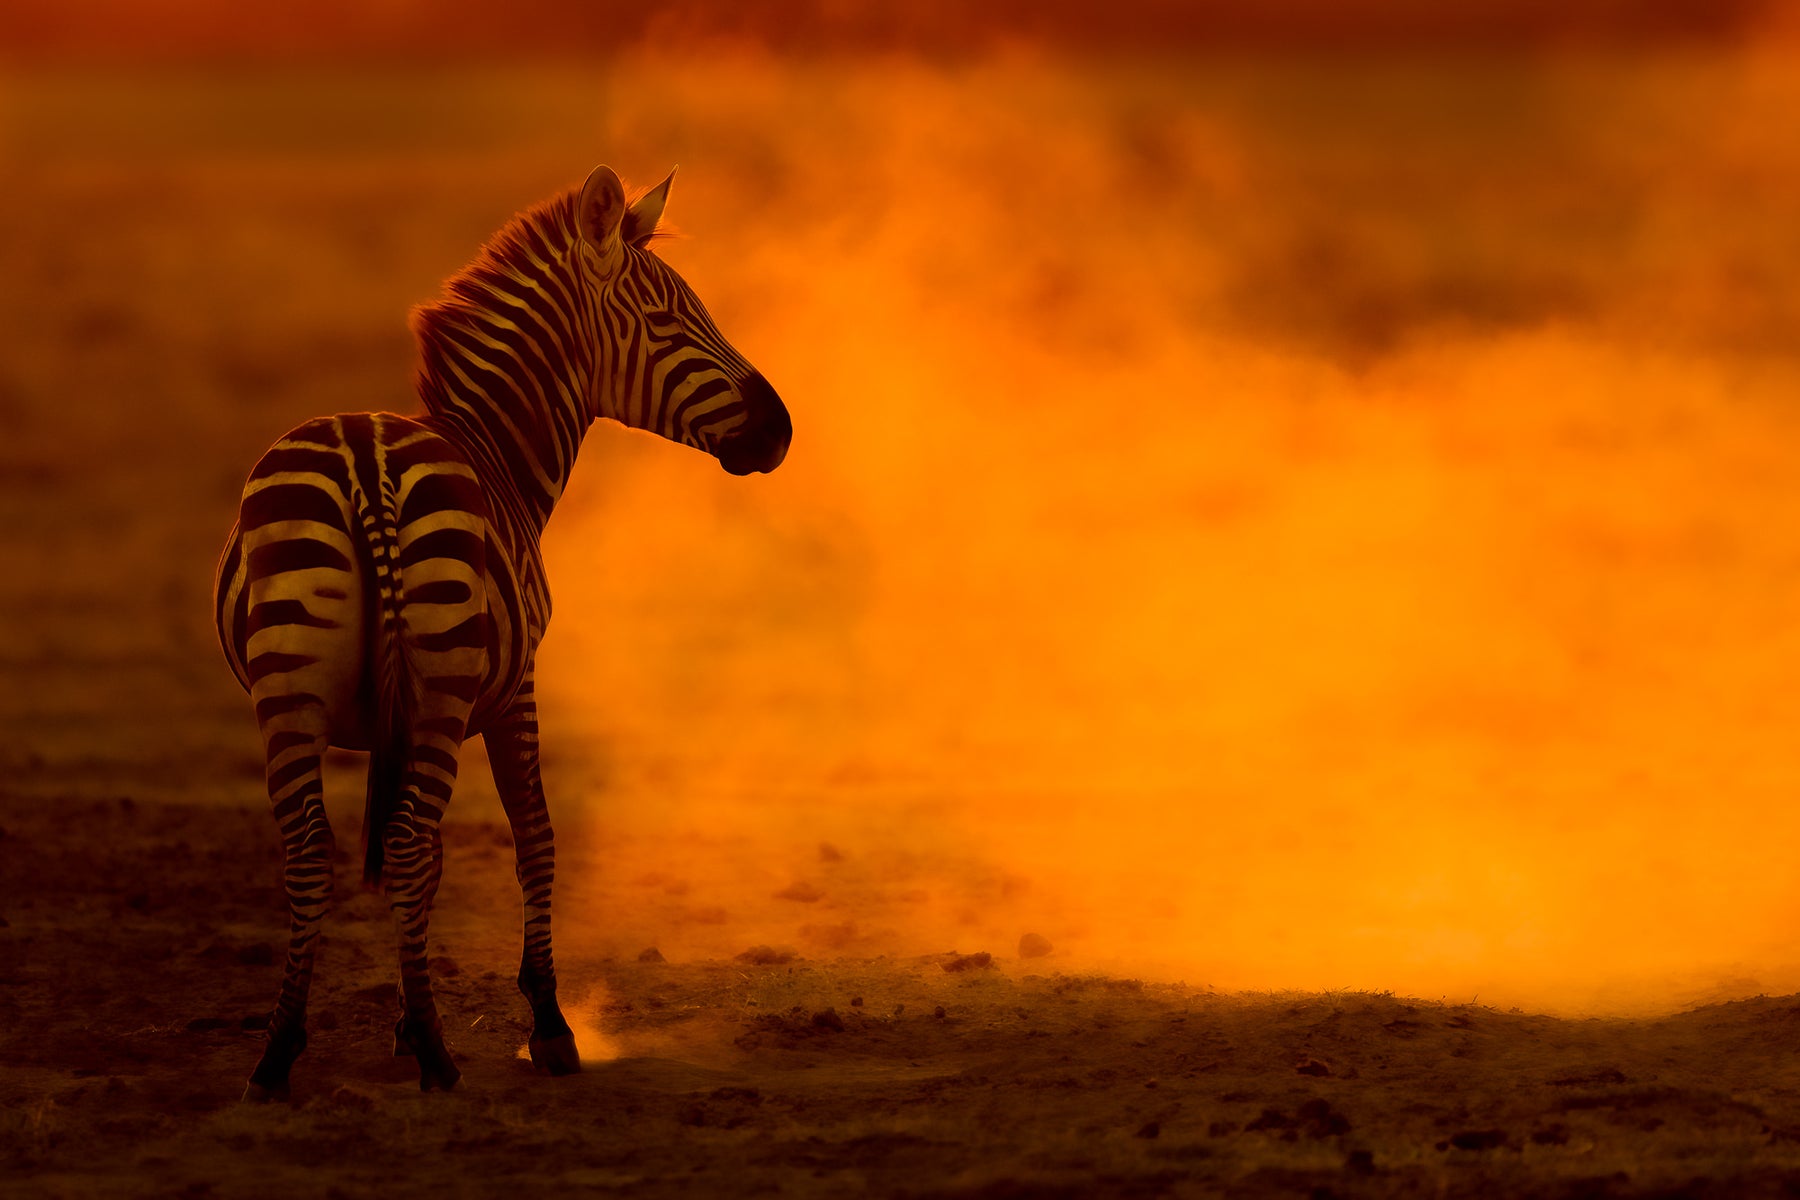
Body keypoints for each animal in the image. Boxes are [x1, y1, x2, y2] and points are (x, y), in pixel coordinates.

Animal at [212, 165, 791, 1100]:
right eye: (671, 320)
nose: (782, 430)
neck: (495, 454)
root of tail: (368, 468)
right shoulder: (514, 685)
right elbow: (533, 837)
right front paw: (546, 1027)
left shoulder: (395, 720)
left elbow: (433, 855)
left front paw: (405, 1018)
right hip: (442, 690)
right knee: (410, 842)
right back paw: (439, 1059)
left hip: (288, 692)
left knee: (311, 851)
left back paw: (278, 1054)